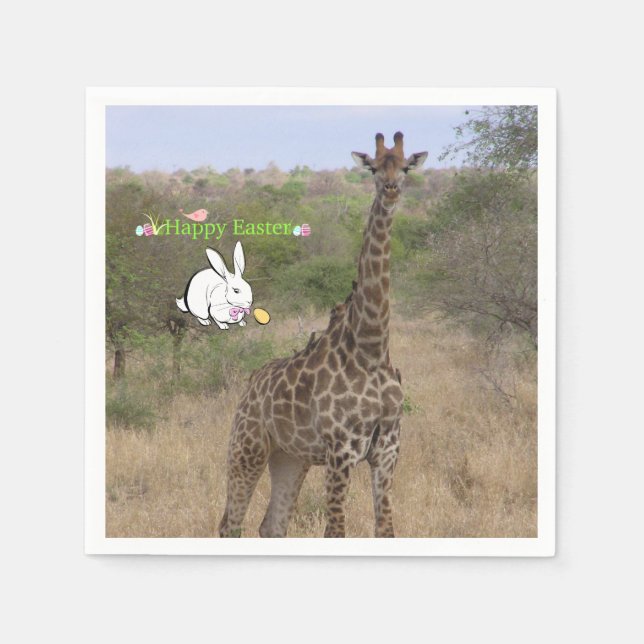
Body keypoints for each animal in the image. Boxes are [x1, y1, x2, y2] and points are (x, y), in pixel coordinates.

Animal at [218, 132, 428, 538]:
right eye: (372, 168)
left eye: (406, 167)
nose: (391, 190)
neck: (372, 347)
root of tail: (250, 384)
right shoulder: (340, 450)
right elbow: (336, 531)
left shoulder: (388, 451)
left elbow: (386, 530)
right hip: (247, 446)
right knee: (230, 524)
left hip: (290, 457)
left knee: (271, 525)